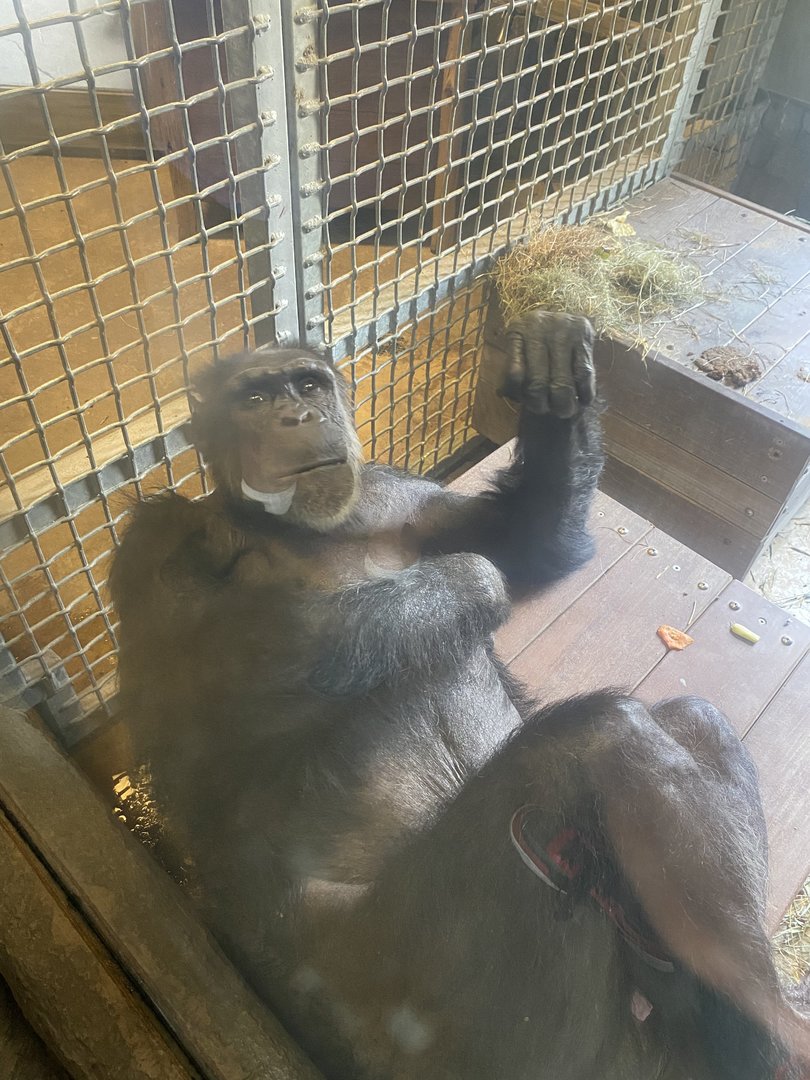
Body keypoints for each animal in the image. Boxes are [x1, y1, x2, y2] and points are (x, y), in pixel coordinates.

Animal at [110, 310, 809, 1080]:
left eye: (307, 384)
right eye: (256, 399)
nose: (299, 415)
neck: (284, 528)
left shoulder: (394, 492)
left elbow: (522, 545)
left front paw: (553, 384)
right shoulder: (154, 544)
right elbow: (201, 676)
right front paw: (473, 582)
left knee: (694, 718)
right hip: (445, 1003)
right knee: (597, 737)